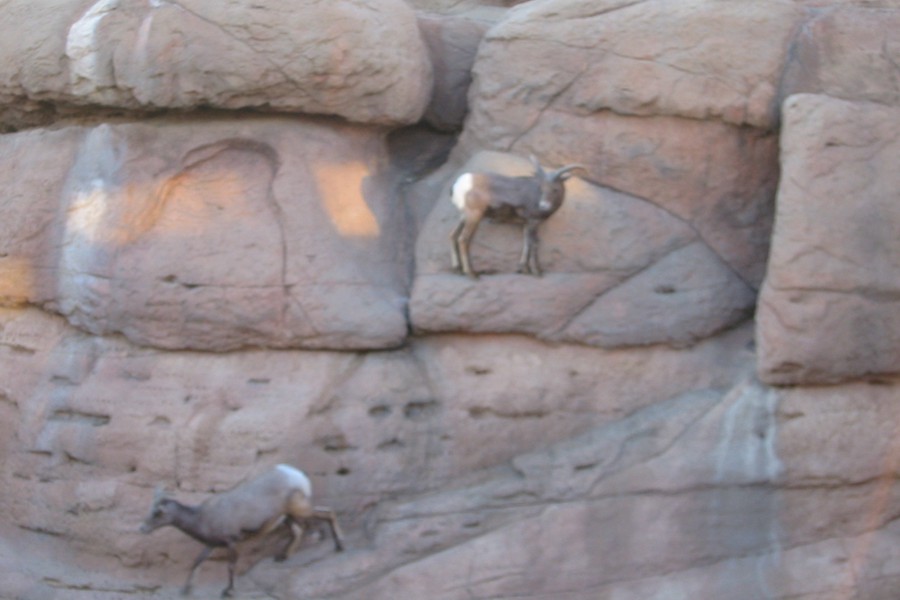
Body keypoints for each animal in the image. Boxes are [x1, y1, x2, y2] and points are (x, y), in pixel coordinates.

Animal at [140, 464, 344, 597]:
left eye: (157, 513)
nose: (142, 528)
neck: (202, 518)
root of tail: (297, 475)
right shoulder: (211, 544)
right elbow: (197, 562)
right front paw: (185, 589)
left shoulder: (231, 542)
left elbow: (231, 566)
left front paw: (228, 591)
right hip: (288, 516)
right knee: (298, 531)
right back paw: (282, 557)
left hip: (300, 509)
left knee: (328, 513)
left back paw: (340, 546)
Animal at [449, 155, 587, 278]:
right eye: (541, 188)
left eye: (555, 189)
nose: (543, 206)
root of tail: (460, 184)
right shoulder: (533, 222)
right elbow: (534, 244)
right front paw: (537, 272)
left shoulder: (526, 225)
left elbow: (526, 244)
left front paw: (524, 270)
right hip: (474, 216)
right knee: (463, 239)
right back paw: (472, 274)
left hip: (464, 216)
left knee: (453, 235)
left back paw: (458, 269)